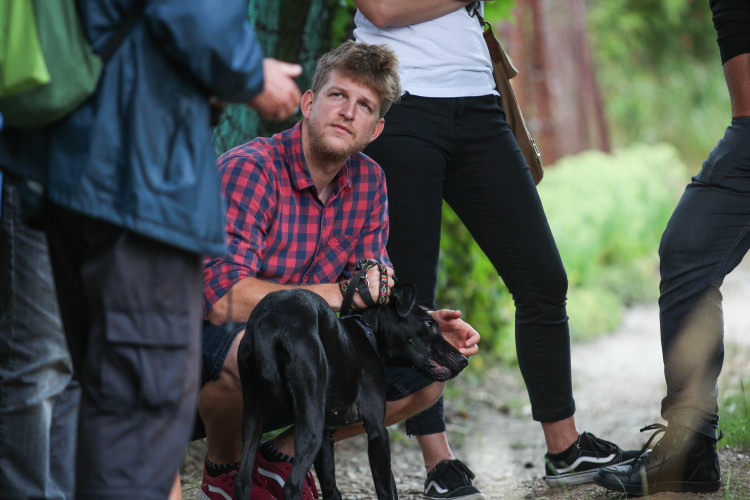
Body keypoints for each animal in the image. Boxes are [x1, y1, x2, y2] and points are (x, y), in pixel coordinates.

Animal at [233, 283, 468, 500]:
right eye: (429, 324)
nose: (464, 360)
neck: (369, 332)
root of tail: (271, 322)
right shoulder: (377, 431)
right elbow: (385, 487)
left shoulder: (327, 437)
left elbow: (332, 487)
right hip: (310, 426)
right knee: (291, 486)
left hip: (253, 420)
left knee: (242, 482)